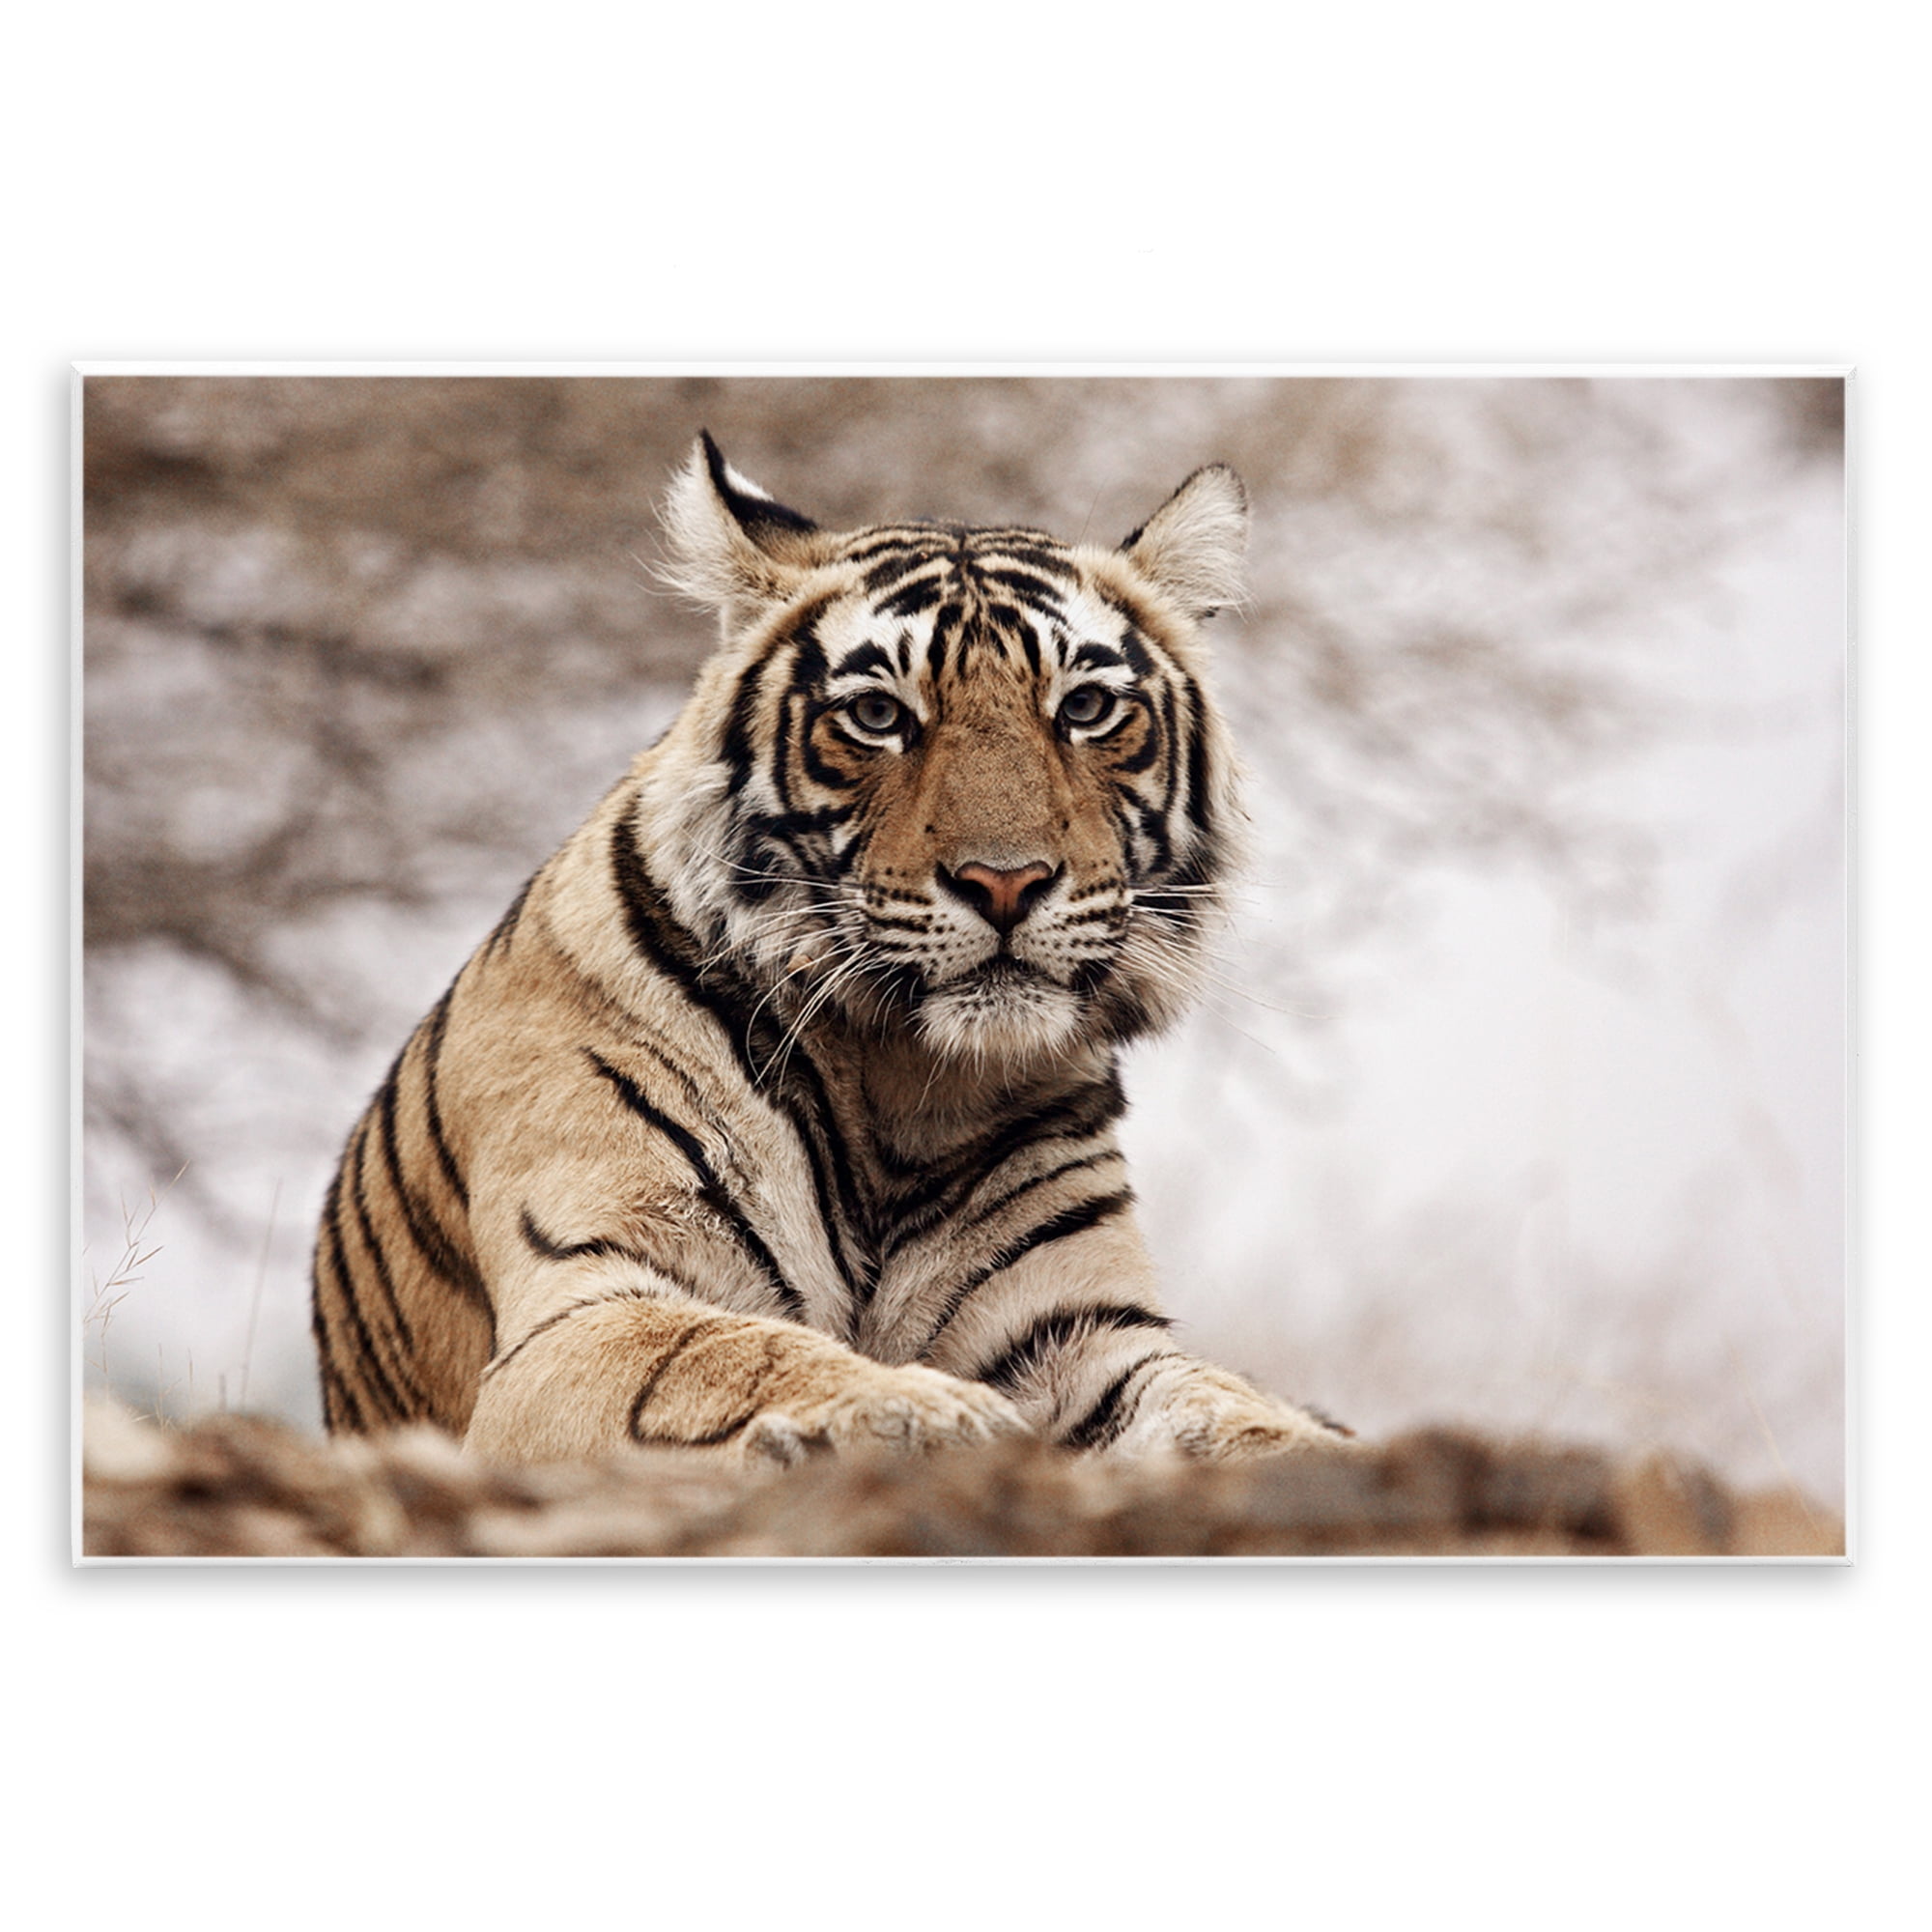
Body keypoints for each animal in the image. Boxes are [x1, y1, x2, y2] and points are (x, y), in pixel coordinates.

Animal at [310, 433, 1352, 1467]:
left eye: (1087, 707)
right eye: (879, 716)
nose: (1005, 882)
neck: (907, 1087)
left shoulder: (1079, 1330)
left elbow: (1220, 1406)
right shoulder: (583, 1305)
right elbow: (733, 1355)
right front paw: (927, 1411)